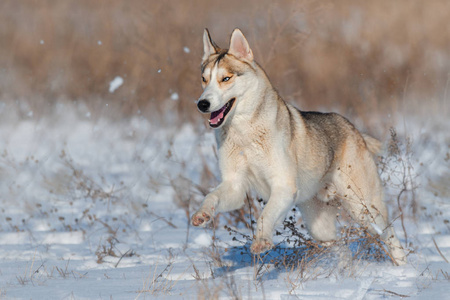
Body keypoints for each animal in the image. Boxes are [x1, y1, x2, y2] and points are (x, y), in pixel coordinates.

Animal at [191, 27, 408, 264]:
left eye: (226, 78)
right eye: (204, 79)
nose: (202, 104)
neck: (244, 135)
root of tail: (354, 129)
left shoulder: (283, 186)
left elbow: (266, 215)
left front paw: (261, 241)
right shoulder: (235, 185)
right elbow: (212, 196)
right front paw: (202, 214)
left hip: (363, 207)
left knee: (389, 234)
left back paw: (403, 267)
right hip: (319, 225)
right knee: (339, 246)